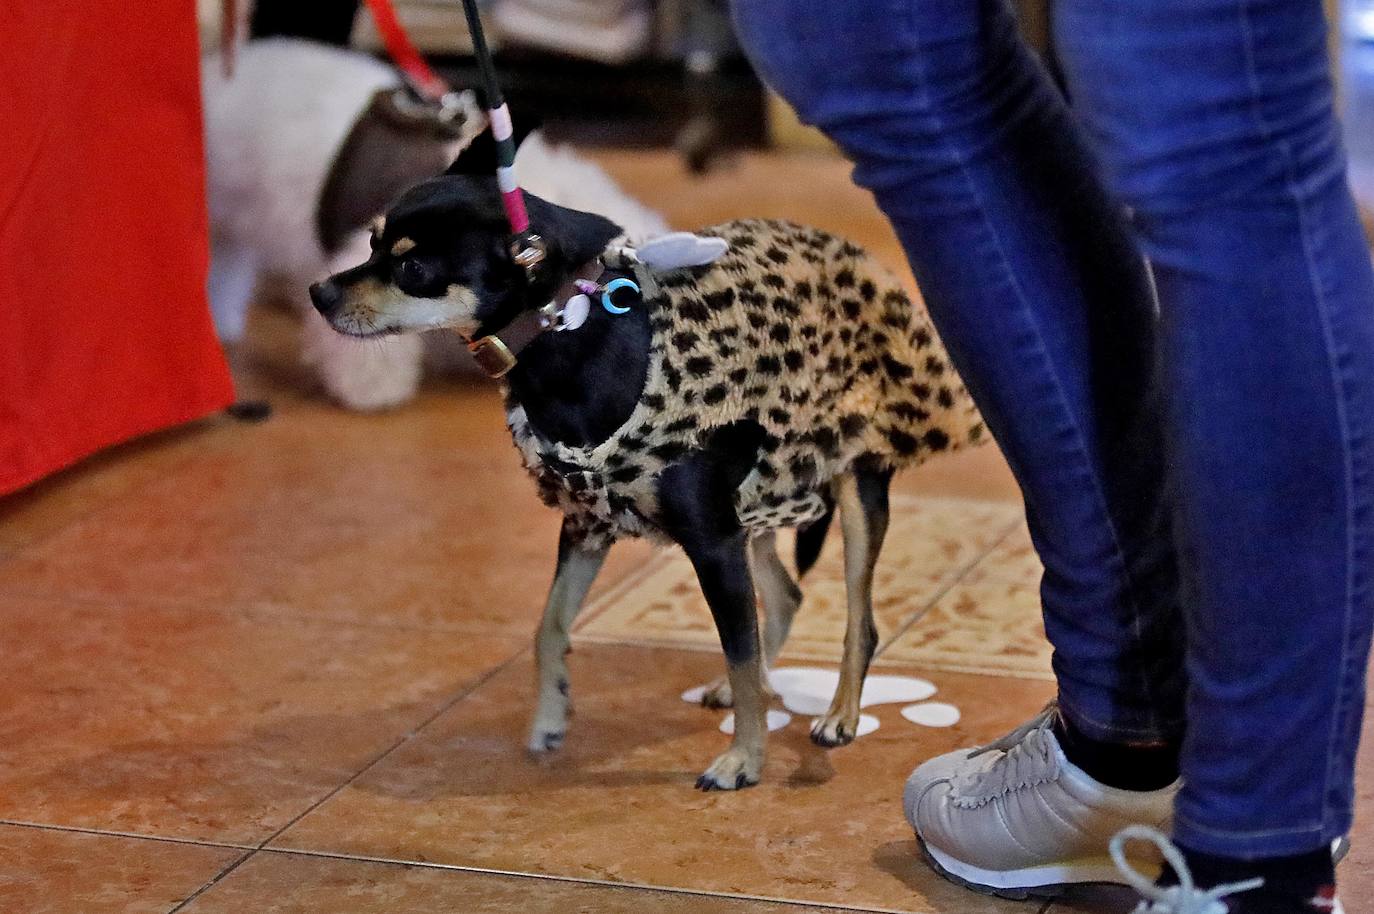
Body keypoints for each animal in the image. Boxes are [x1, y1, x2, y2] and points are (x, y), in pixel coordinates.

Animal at [309, 137, 989, 791]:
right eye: (371, 242)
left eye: (412, 267)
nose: (318, 293)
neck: (571, 328)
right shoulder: (589, 524)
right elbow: (549, 625)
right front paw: (551, 715)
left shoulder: (712, 542)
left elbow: (739, 652)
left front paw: (744, 760)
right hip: (761, 500)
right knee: (787, 594)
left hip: (852, 490)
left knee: (858, 618)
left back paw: (841, 714)